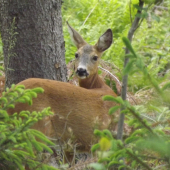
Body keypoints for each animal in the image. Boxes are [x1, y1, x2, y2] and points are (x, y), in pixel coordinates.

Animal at [7, 22, 118, 166]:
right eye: (76, 54)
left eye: (95, 57)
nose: (81, 70)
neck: (101, 87)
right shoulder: (101, 139)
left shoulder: (71, 146)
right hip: (35, 128)